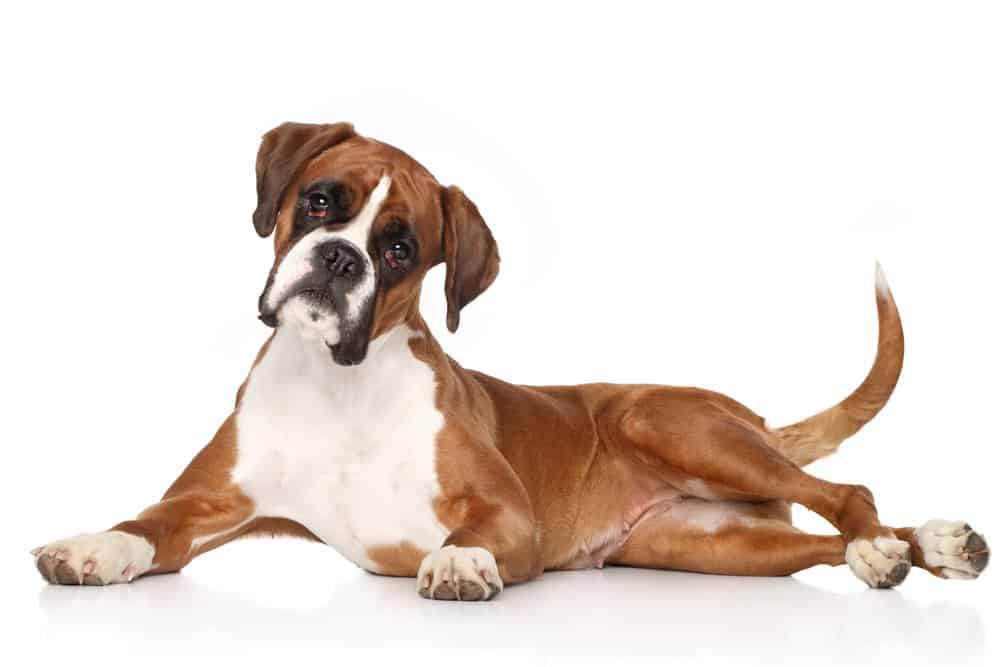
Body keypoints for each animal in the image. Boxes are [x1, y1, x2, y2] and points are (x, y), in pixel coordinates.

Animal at [31, 121, 984, 600]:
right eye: (320, 202)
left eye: (402, 250)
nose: (340, 259)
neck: (336, 384)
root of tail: (751, 415)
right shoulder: (202, 506)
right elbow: (144, 526)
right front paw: (91, 547)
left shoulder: (506, 511)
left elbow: (473, 532)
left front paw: (457, 561)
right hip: (709, 547)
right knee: (823, 541)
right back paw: (918, 550)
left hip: (673, 424)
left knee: (848, 494)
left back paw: (895, 546)